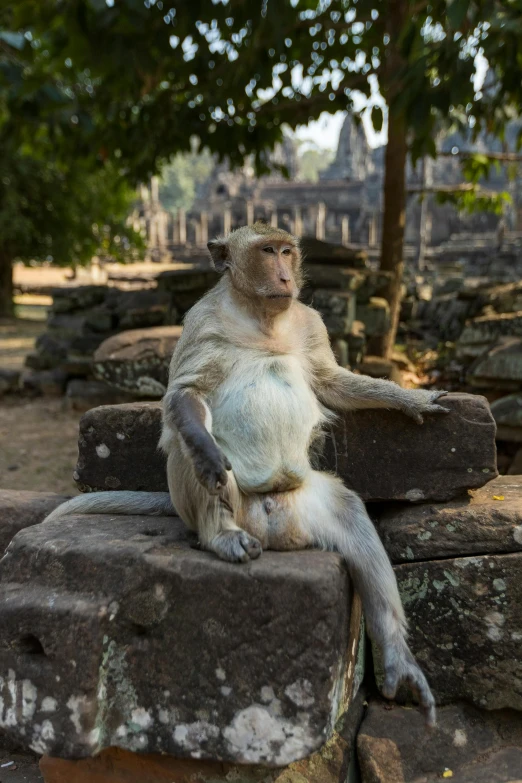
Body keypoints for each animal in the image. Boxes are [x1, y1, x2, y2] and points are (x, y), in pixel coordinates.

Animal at [41, 225, 446, 728]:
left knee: (352, 517)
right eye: (267, 251)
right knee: (188, 451)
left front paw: (410, 399)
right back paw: (221, 533)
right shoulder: (199, 321)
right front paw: (205, 450)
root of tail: (270, 525)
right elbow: (184, 394)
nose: (284, 275)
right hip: (225, 502)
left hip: (304, 503)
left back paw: (394, 656)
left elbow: (332, 380)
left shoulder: (311, 323)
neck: (261, 317)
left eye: (288, 252)